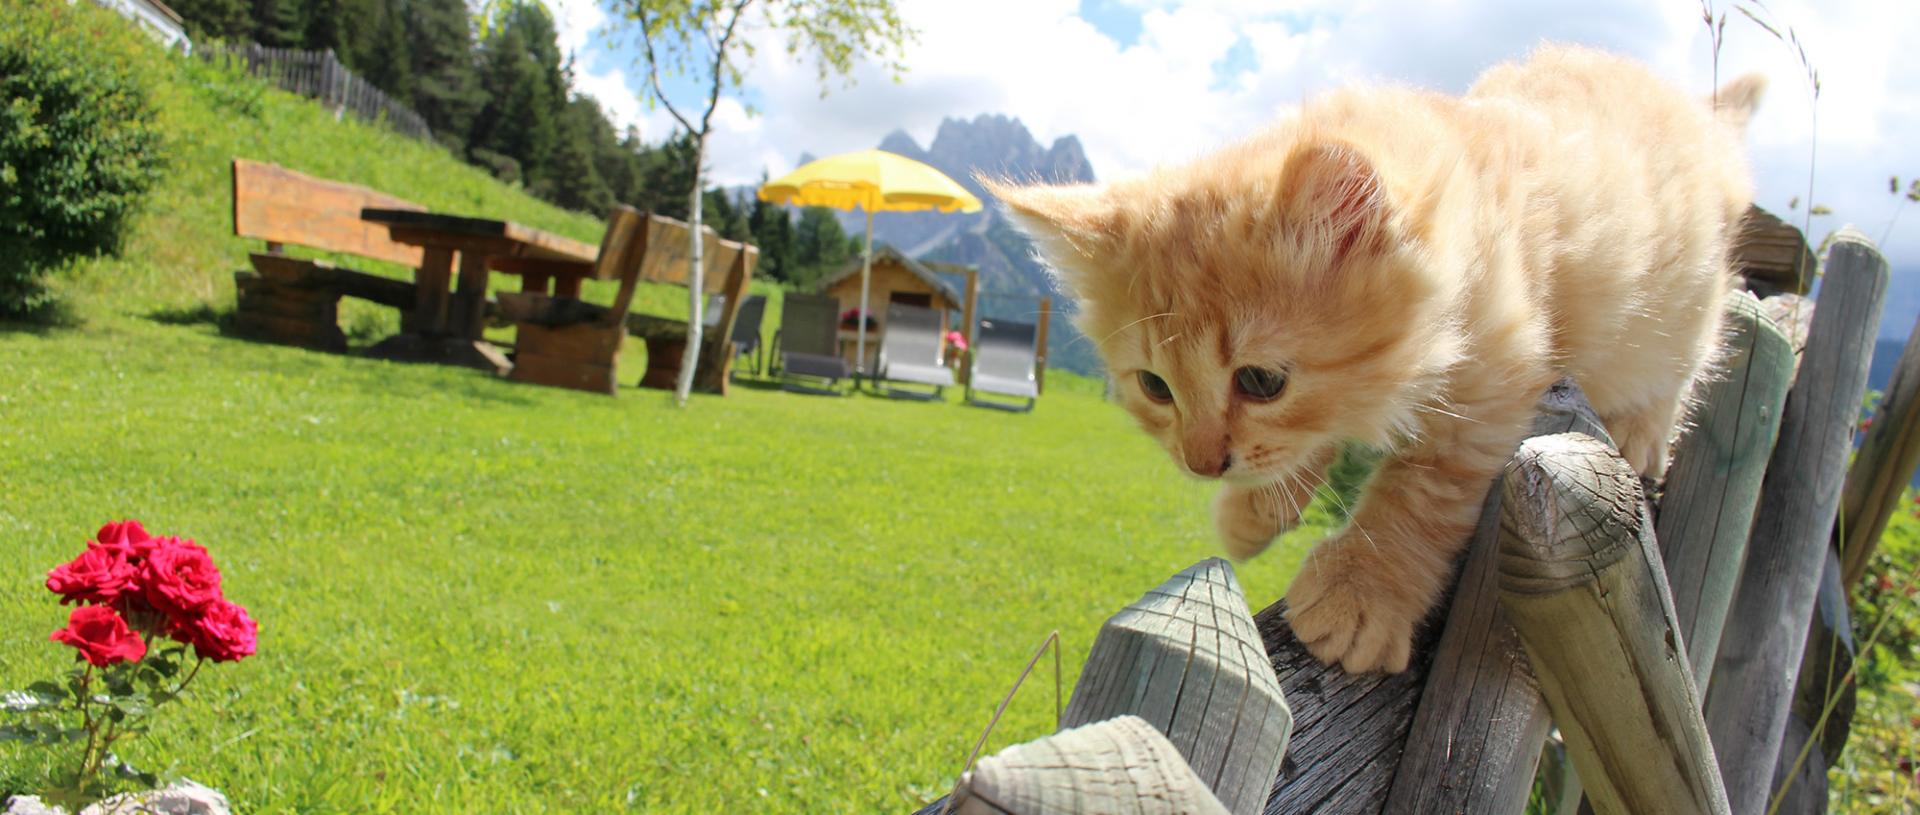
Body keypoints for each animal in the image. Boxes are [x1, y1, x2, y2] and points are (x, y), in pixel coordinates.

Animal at [998, 47, 1758, 676]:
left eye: (1261, 381)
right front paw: (1257, 510)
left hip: (1687, 304)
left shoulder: (1495, 380)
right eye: (1156, 386)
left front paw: (1359, 594)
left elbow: (1416, 498)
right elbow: (1310, 442)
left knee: (1690, 355)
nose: (1203, 462)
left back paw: (1643, 431)